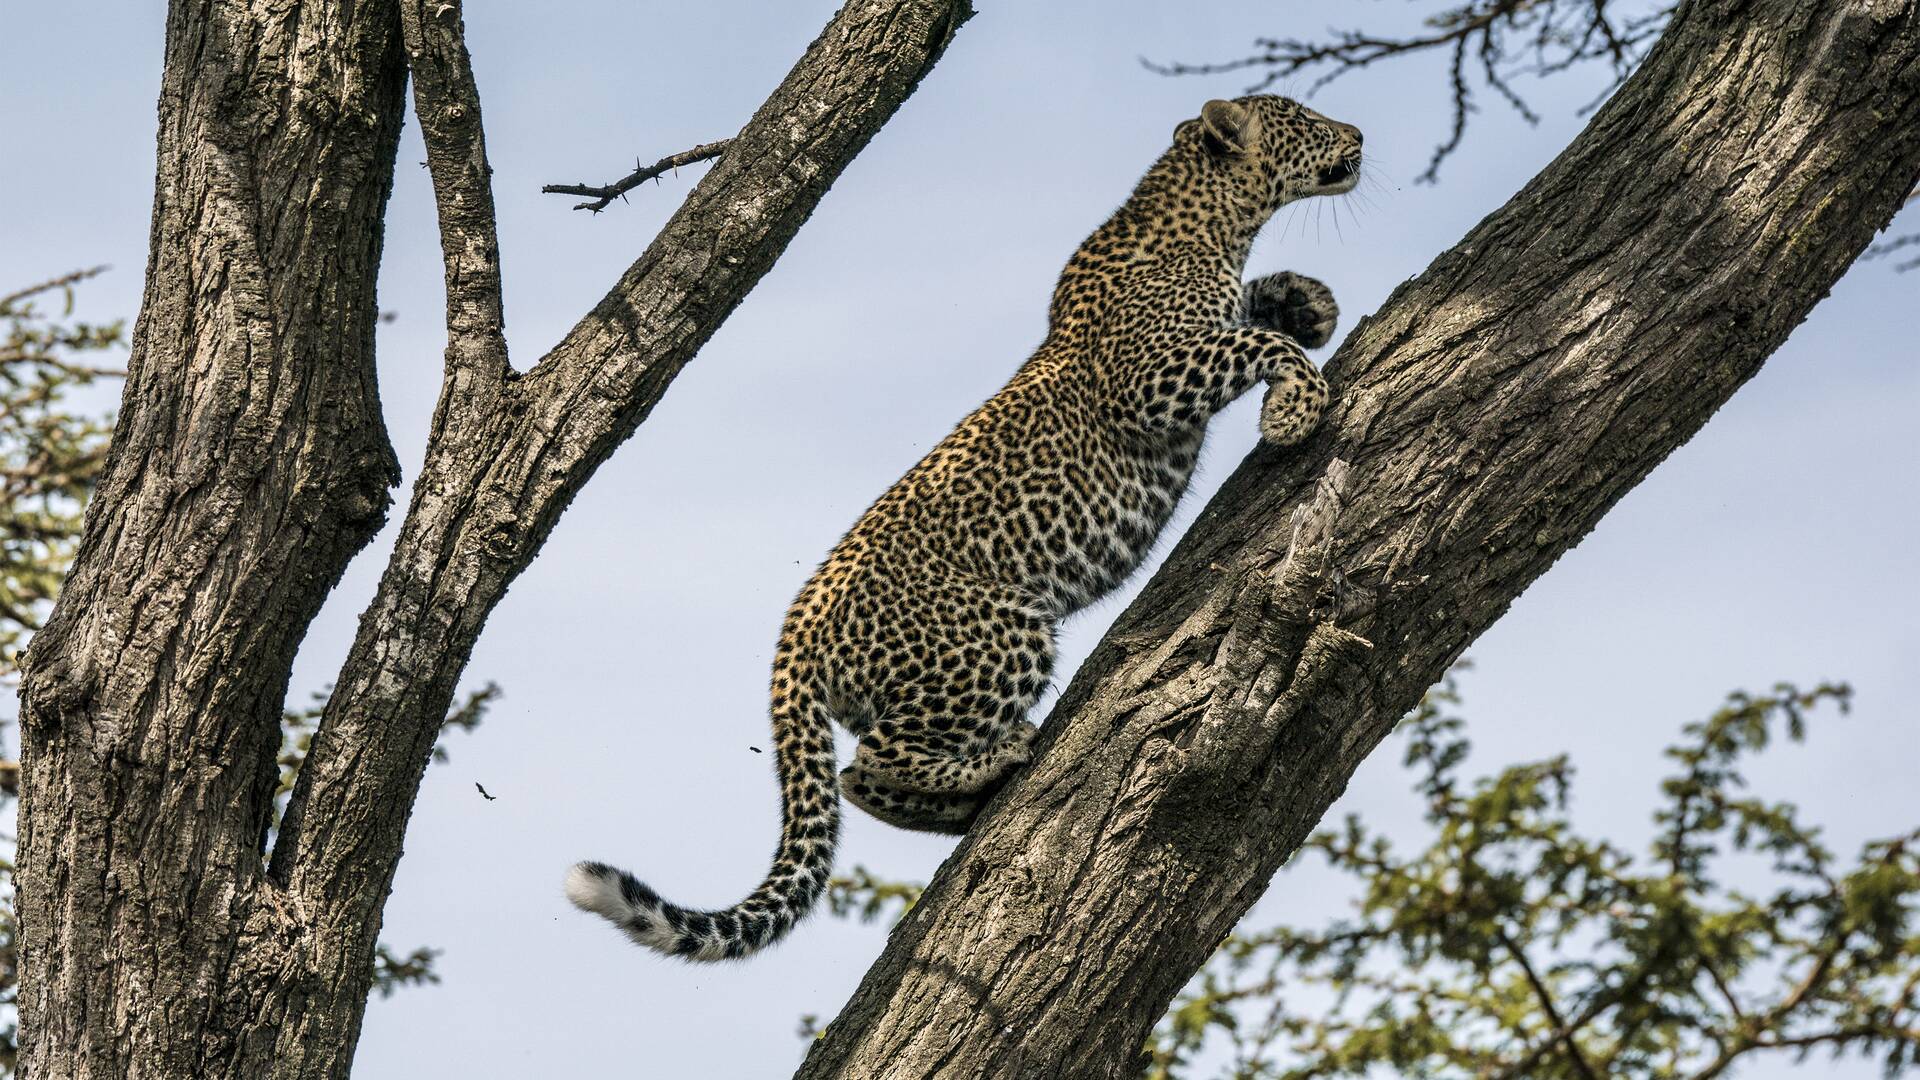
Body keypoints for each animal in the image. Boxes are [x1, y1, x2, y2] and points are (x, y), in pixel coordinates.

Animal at [567, 95, 1363, 962]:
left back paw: (973, 795)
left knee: (860, 778)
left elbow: (1256, 311)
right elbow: (1258, 343)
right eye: (1303, 118)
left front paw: (1308, 301)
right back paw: (997, 759)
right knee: (867, 764)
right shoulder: (1145, 380)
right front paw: (1295, 407)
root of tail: (793, 641)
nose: (1357, 135)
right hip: (1000, 634)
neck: (1211, 221)